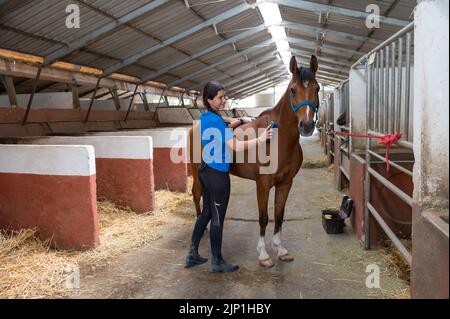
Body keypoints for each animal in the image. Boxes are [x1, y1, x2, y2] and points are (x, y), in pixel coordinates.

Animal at [189, 56, 320, 268]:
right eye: (293, 90)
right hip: (196, 173)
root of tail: (194, 127)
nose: (307, 126)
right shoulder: (263, 184)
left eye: (317, 88)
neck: (278, 139)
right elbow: (264, 217)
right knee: (196, 195)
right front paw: (263, 255)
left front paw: (280, 250)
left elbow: (279, 215)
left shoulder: (286, 183)